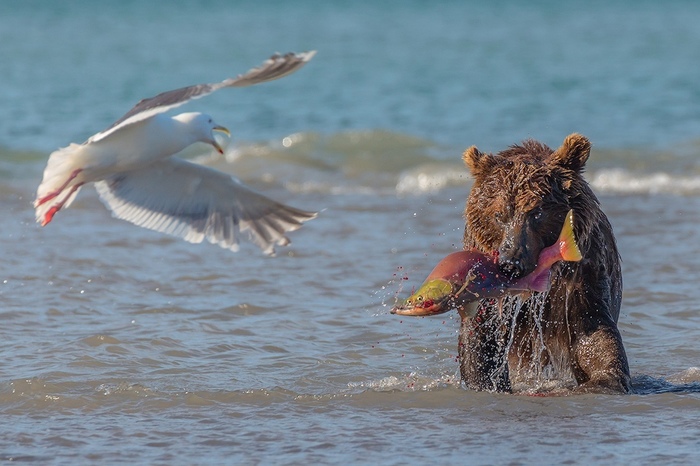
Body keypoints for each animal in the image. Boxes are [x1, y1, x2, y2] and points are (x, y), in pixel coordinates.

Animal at [462, 134, 632, 394]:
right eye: (499, 215)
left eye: (537, 212)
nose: (511, 263)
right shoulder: (487, 286)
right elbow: (481, 336)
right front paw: (486, 381)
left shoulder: (582, 278)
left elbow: (592, 331)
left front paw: (604, 378)